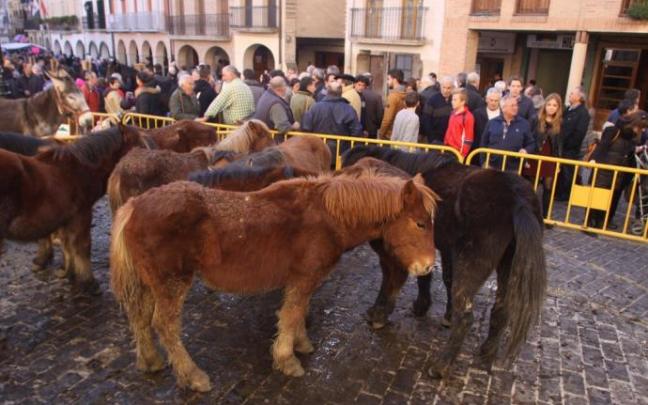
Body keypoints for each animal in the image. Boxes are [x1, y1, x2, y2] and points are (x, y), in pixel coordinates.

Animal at [0, 124, 149, 294]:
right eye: (138, 145)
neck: (79, 168)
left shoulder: (66, 218)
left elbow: (68, 245)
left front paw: (68, 272)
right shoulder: (81, 214)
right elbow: (82, 246)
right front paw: (88, 282)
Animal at [110, 170, 438, 392]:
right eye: (420, 223)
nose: (427, 267)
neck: (328, 216)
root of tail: (133, 206)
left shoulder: (303, 280)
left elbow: (297, 313)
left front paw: (301, 344)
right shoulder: (304, 278)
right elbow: (291, 314)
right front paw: (287, 360)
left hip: (149, 284)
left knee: (140, 318)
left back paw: (150, 361)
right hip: (172, 284)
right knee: (165, 325)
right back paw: (192, 376)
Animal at [342, 146, 546, 380]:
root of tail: (518, 199)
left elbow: (394, 278)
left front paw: (380, 313)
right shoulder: (445, 249)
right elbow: (442, 277)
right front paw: (441, 313)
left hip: (472, 263)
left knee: (466, 316)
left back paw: (442, 365)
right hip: (507, 265)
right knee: (502, 308)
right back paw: (487, 351)